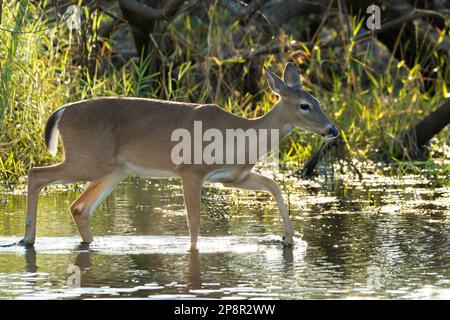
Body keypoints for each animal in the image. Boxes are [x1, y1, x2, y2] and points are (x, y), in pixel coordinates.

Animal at [17, 63, 340, 251]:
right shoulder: (191, 170)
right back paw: (27, 238)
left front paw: (288, 238)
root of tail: (61, 111)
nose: (332, 130)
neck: (240, 137)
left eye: (318, 100)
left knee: (79, 207)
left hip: (114, 169)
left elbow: (273, 185)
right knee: (35, 174)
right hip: (87, 160)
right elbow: (194, 219)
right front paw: (193, 251)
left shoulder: (234, 177)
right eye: (304, 105)